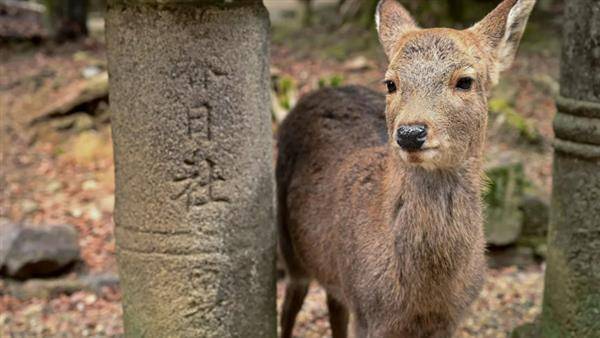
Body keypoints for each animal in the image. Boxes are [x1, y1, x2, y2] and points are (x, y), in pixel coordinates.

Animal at [276, 0, 536, 338]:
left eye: (465, 80)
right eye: (391, 83)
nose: (411, 133)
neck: (423, 295)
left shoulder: (451, 317)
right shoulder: (369, 311)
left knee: (334, 306)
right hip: (287, 242)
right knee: (291, 304)